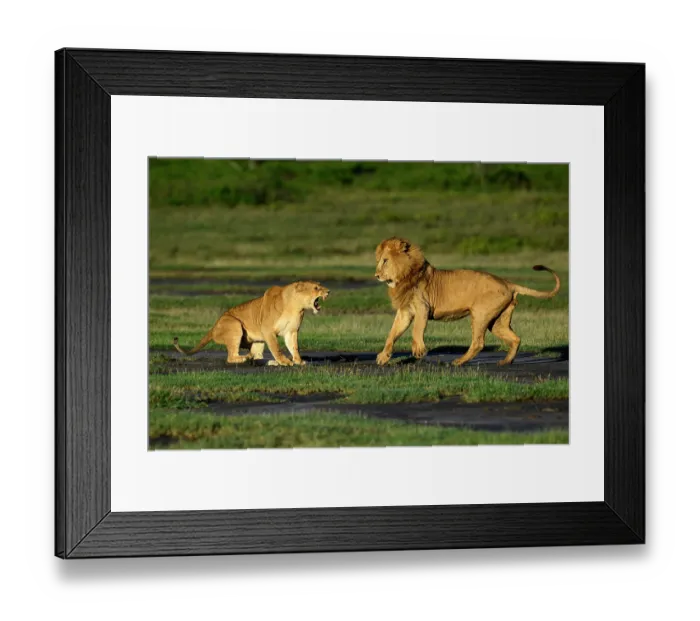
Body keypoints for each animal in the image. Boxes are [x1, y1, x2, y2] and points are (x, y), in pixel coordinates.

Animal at [173, 281, 330, 366]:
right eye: (316, 288)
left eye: (320, 285)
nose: (328, 291)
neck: (295, 307)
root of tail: (214, 326)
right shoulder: (267, 330)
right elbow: (276, 348)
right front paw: (285, 361)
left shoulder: (291, 331)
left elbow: (294, 347)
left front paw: (298, 361)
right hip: (233, 324)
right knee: (231, 357)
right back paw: (245, 358)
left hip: (258, 341)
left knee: (257, 358)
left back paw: (267, 361)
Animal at [374, 237, 560, 367]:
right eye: (379, 261)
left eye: (385, 260)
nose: (376, 275)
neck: (402, 277)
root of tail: (507, 282)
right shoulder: (405, 311)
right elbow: (392, 333)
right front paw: (383, 357)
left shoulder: (422, 307)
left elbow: (416, 329)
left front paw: (418, 350)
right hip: (497, 322)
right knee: (515, 338)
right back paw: (505, 362)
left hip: (480, 314)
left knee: (478, 343)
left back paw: (458, 362)